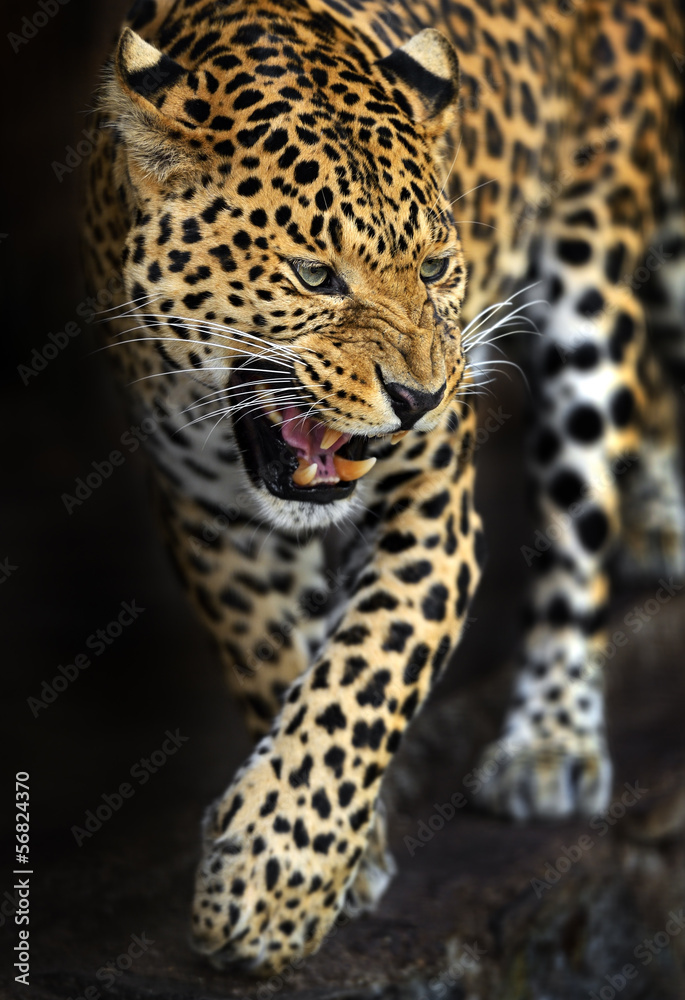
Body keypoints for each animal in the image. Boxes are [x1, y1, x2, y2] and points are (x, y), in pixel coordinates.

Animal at [82, 0, 685, 973]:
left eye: (435, 268)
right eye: (313, 275)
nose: (420, 399)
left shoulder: (433, 518)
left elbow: (364, 673)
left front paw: (266, 884)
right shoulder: (207, 515)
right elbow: (281, 666)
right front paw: (343, 857)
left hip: (592, 273)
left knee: (576, 522)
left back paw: (550, 737)